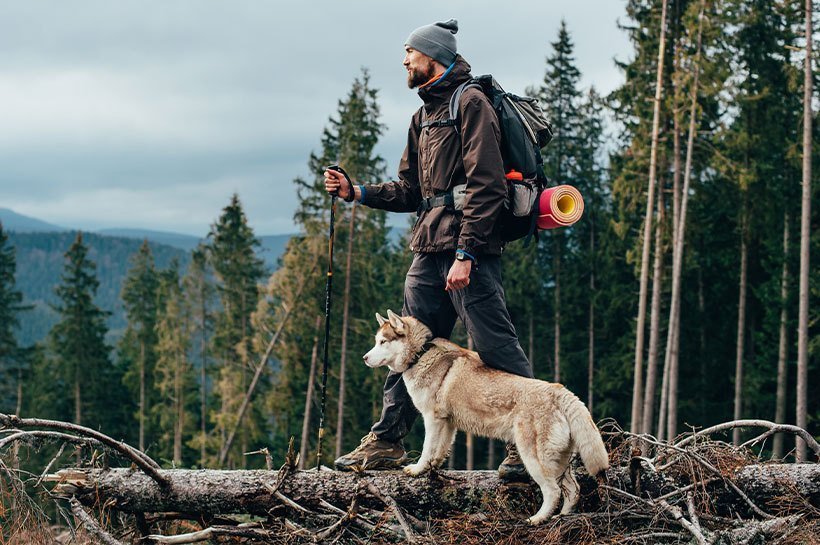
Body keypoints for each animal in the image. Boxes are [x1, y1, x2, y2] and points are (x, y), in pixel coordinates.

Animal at [366, 310, 608, 524]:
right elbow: (440, 450)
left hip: (534, 459)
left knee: (553, 491)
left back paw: (538, 519)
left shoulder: (431, 418)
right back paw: (562, 517)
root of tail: (560, 391)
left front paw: (417, 469)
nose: (365, 357)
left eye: (382, 342)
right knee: (573, 490)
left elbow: (426, 449)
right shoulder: (447, 423)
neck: (420, 354)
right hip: (559, 462)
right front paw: (433, 468)